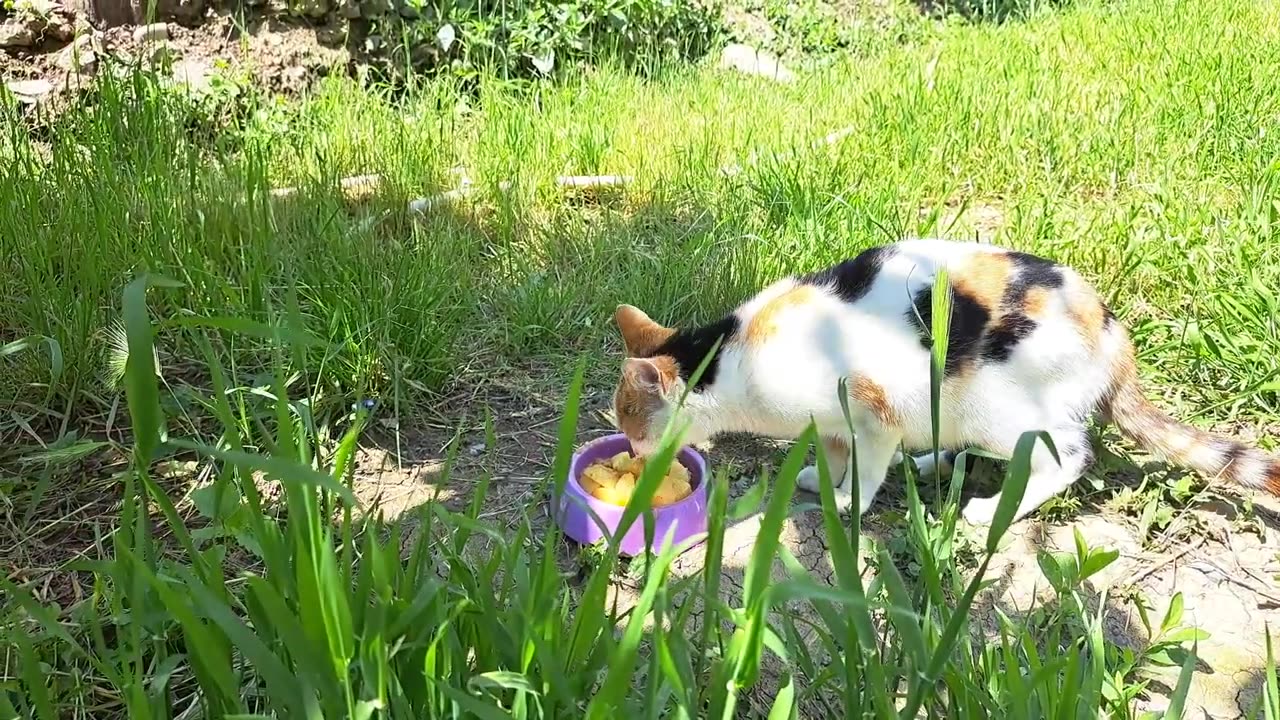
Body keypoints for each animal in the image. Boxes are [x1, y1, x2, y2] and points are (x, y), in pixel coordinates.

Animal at [611, 235, 1280, 520]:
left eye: (631, 422)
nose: (636, 454)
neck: (730, 359)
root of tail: (1111, 329)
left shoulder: (871, 408)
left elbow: (868, 464)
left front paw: (849, 501)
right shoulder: (832, 422)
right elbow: (835, 451)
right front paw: (821, 480)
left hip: (994, 403)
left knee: (1066, 456)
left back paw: (991, 509)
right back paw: (933, 462)